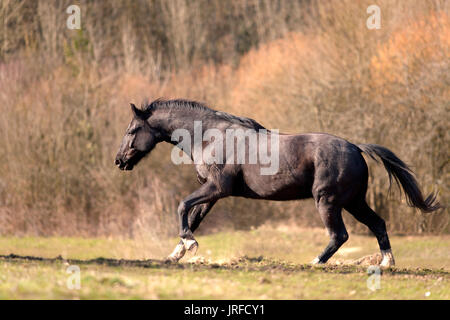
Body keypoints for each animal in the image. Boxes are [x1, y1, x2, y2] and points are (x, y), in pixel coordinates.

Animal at [115, 99, 440, 266]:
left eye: (132, 130)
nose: (119, 161)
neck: (209, 136)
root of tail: (356, 148)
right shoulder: (213, 194)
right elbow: (193, 217)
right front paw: (178, 251)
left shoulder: (217, 188)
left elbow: (183, 205)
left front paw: (189, 244)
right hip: (354, 201)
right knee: (378, 224)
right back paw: (386, 263)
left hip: (328, 201)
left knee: (340, 235)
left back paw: (315, 262)